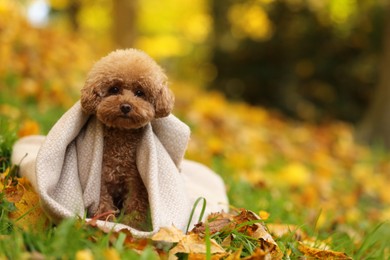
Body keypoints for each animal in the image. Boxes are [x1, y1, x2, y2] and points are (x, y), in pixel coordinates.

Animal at [79, 48, 174, 230]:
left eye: (140, 93)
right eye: (114, 89)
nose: (125, 106)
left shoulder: (136, 182)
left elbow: (135, 205)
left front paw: (132, 226)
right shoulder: (102, 178)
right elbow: (103, 202)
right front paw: (105, 220)